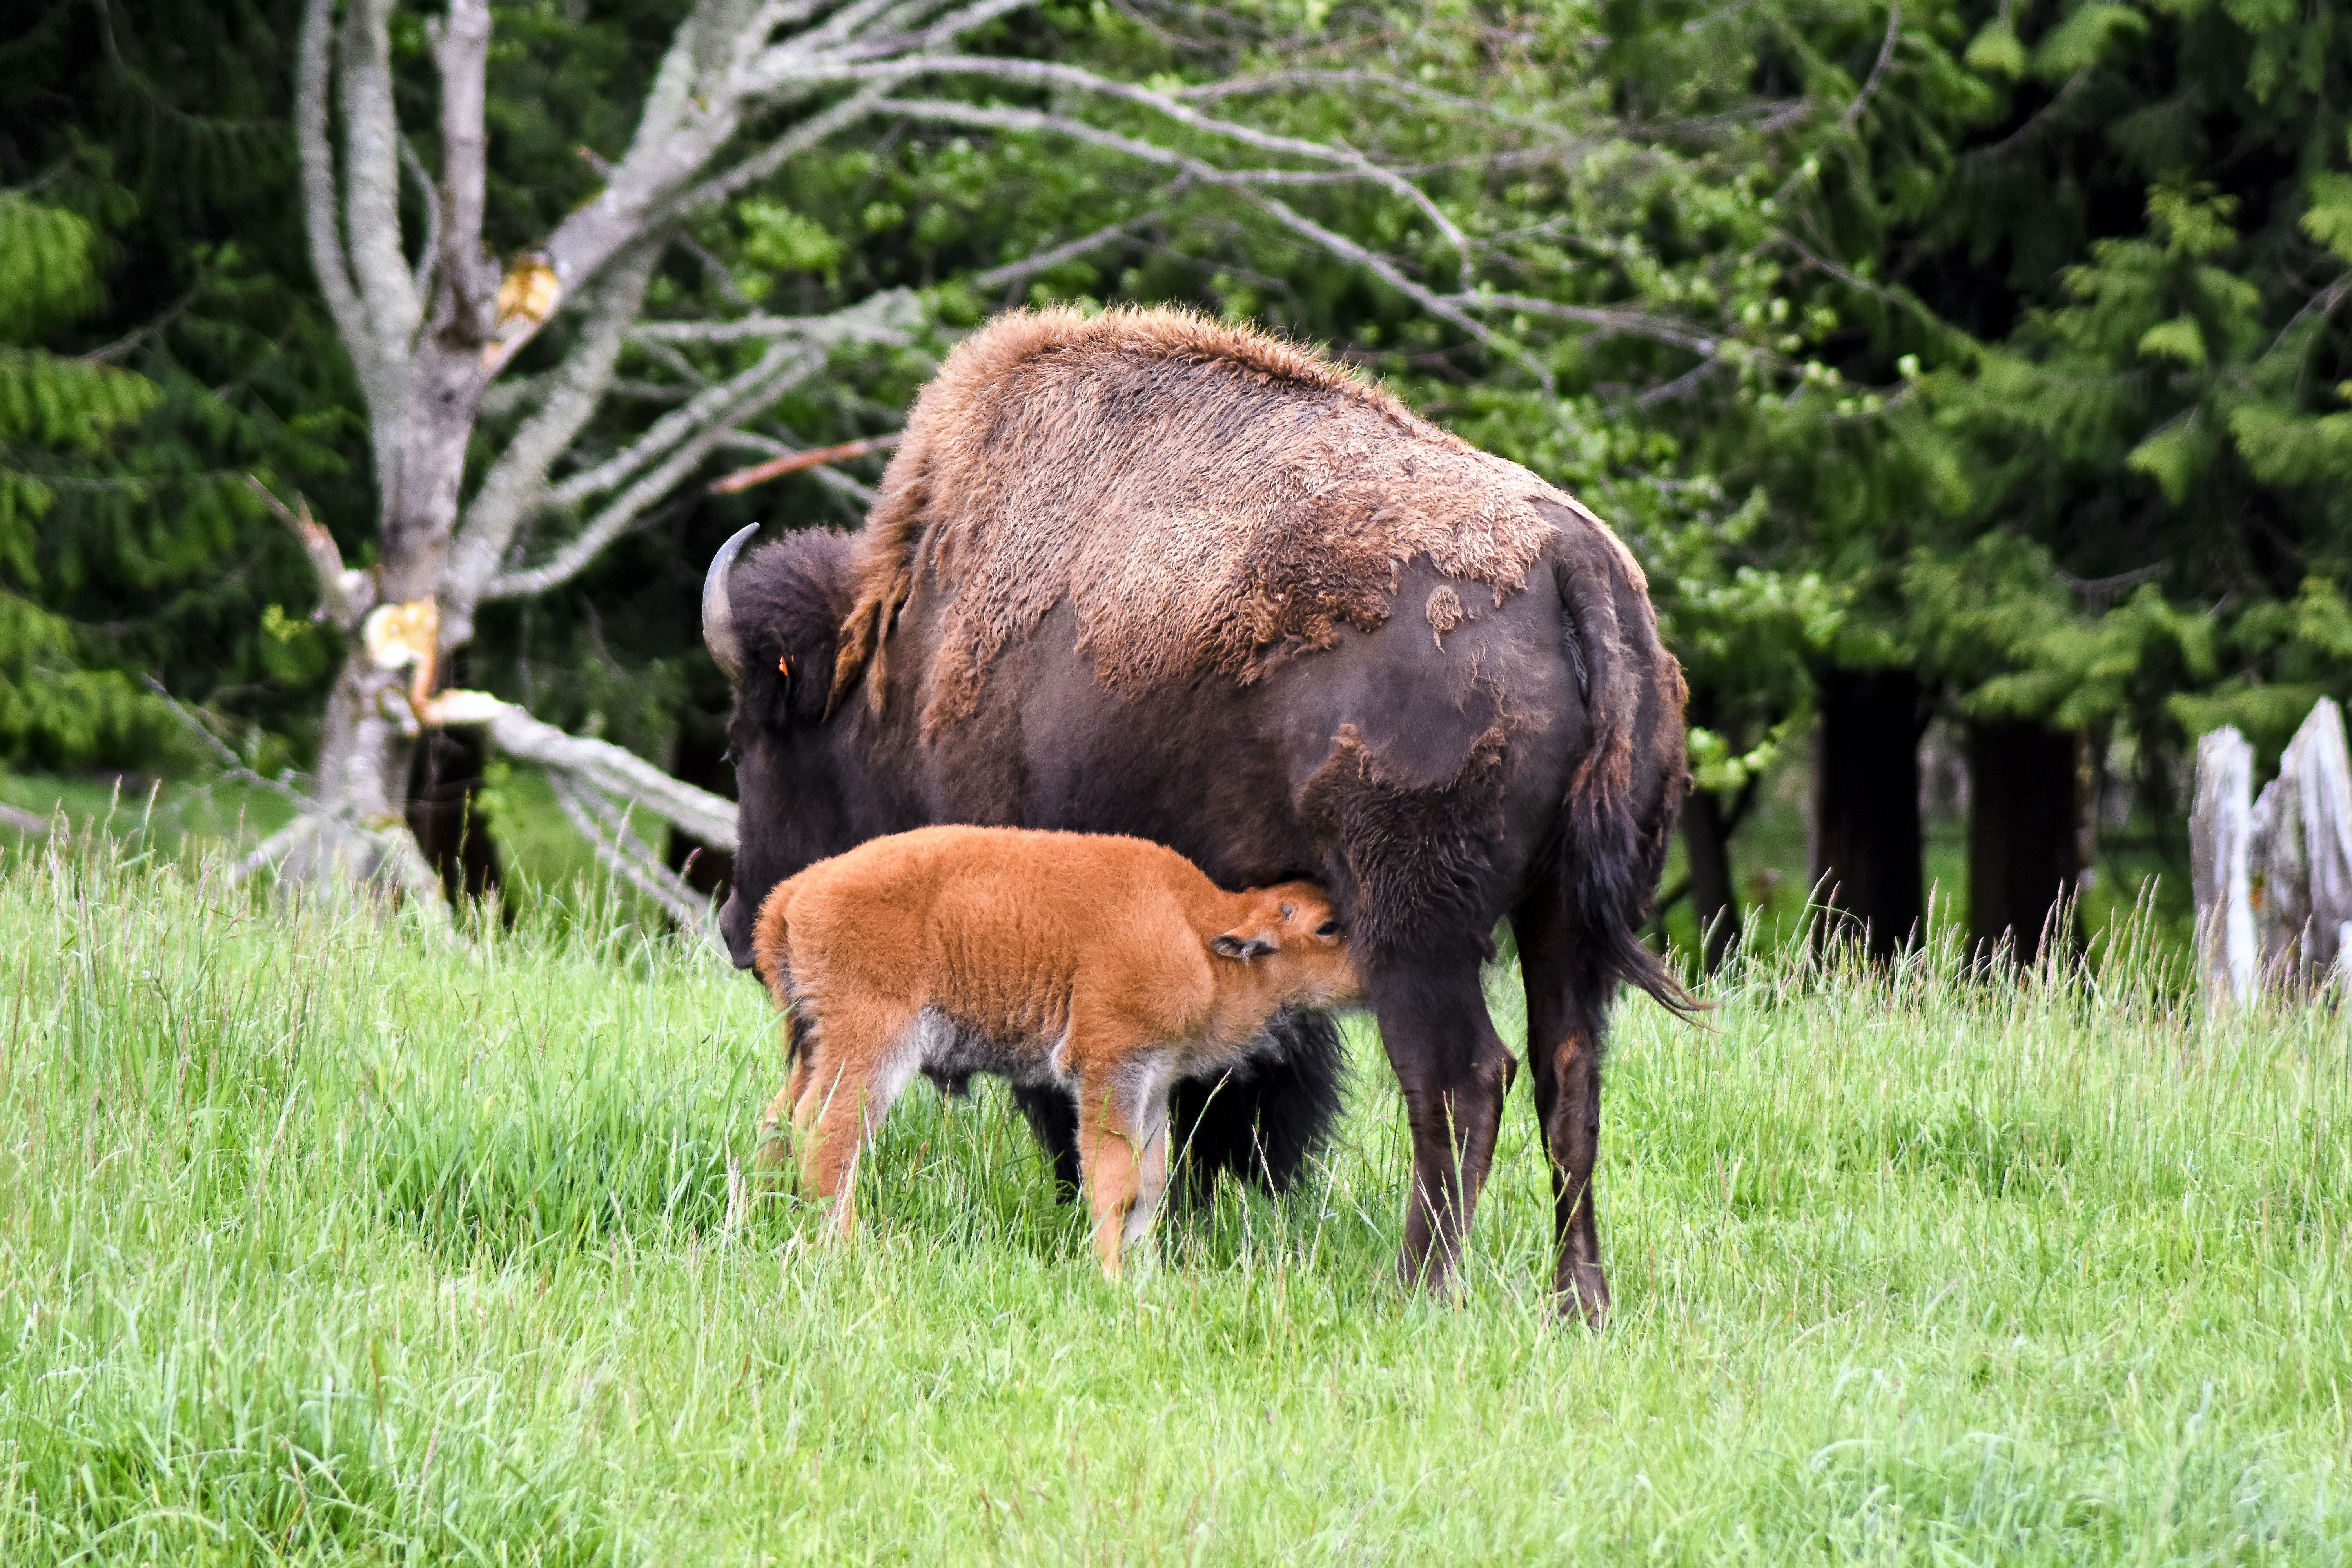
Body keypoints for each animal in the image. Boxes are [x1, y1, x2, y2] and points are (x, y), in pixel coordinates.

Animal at [743, 822, 1355, 1279]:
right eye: (1327, 928)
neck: (1193, 928)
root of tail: (793, 895)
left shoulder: (1153, 1083)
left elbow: (1150, 1182)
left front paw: (1148, 1276)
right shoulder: (1110, 1067)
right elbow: (1113, 1179)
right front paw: (1111, 1276)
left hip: (815, 1046)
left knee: (779, 1119)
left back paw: (761, 1218)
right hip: (871, 1046)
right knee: (828, 1131)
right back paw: (847, 1251)